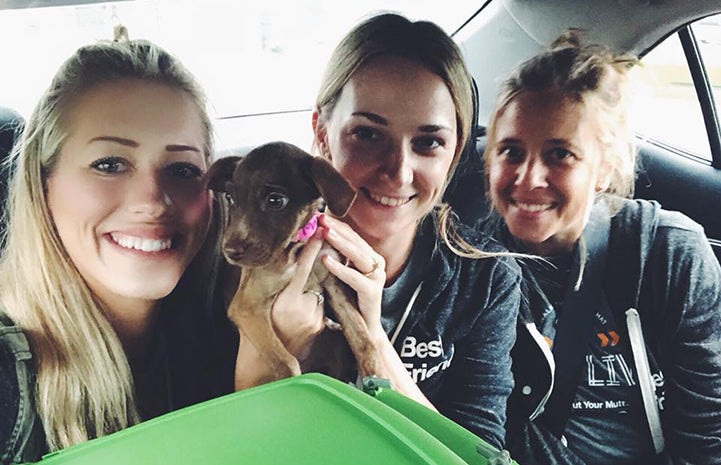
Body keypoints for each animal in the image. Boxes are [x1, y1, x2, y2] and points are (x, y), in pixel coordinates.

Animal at [204, 140, 382, 384]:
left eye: (275, 200)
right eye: (230, 198)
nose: (229, 252)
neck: (295, 250)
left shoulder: (333, 284)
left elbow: (363, 337)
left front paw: (378, 377)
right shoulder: (246, 306)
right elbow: (287, 363)